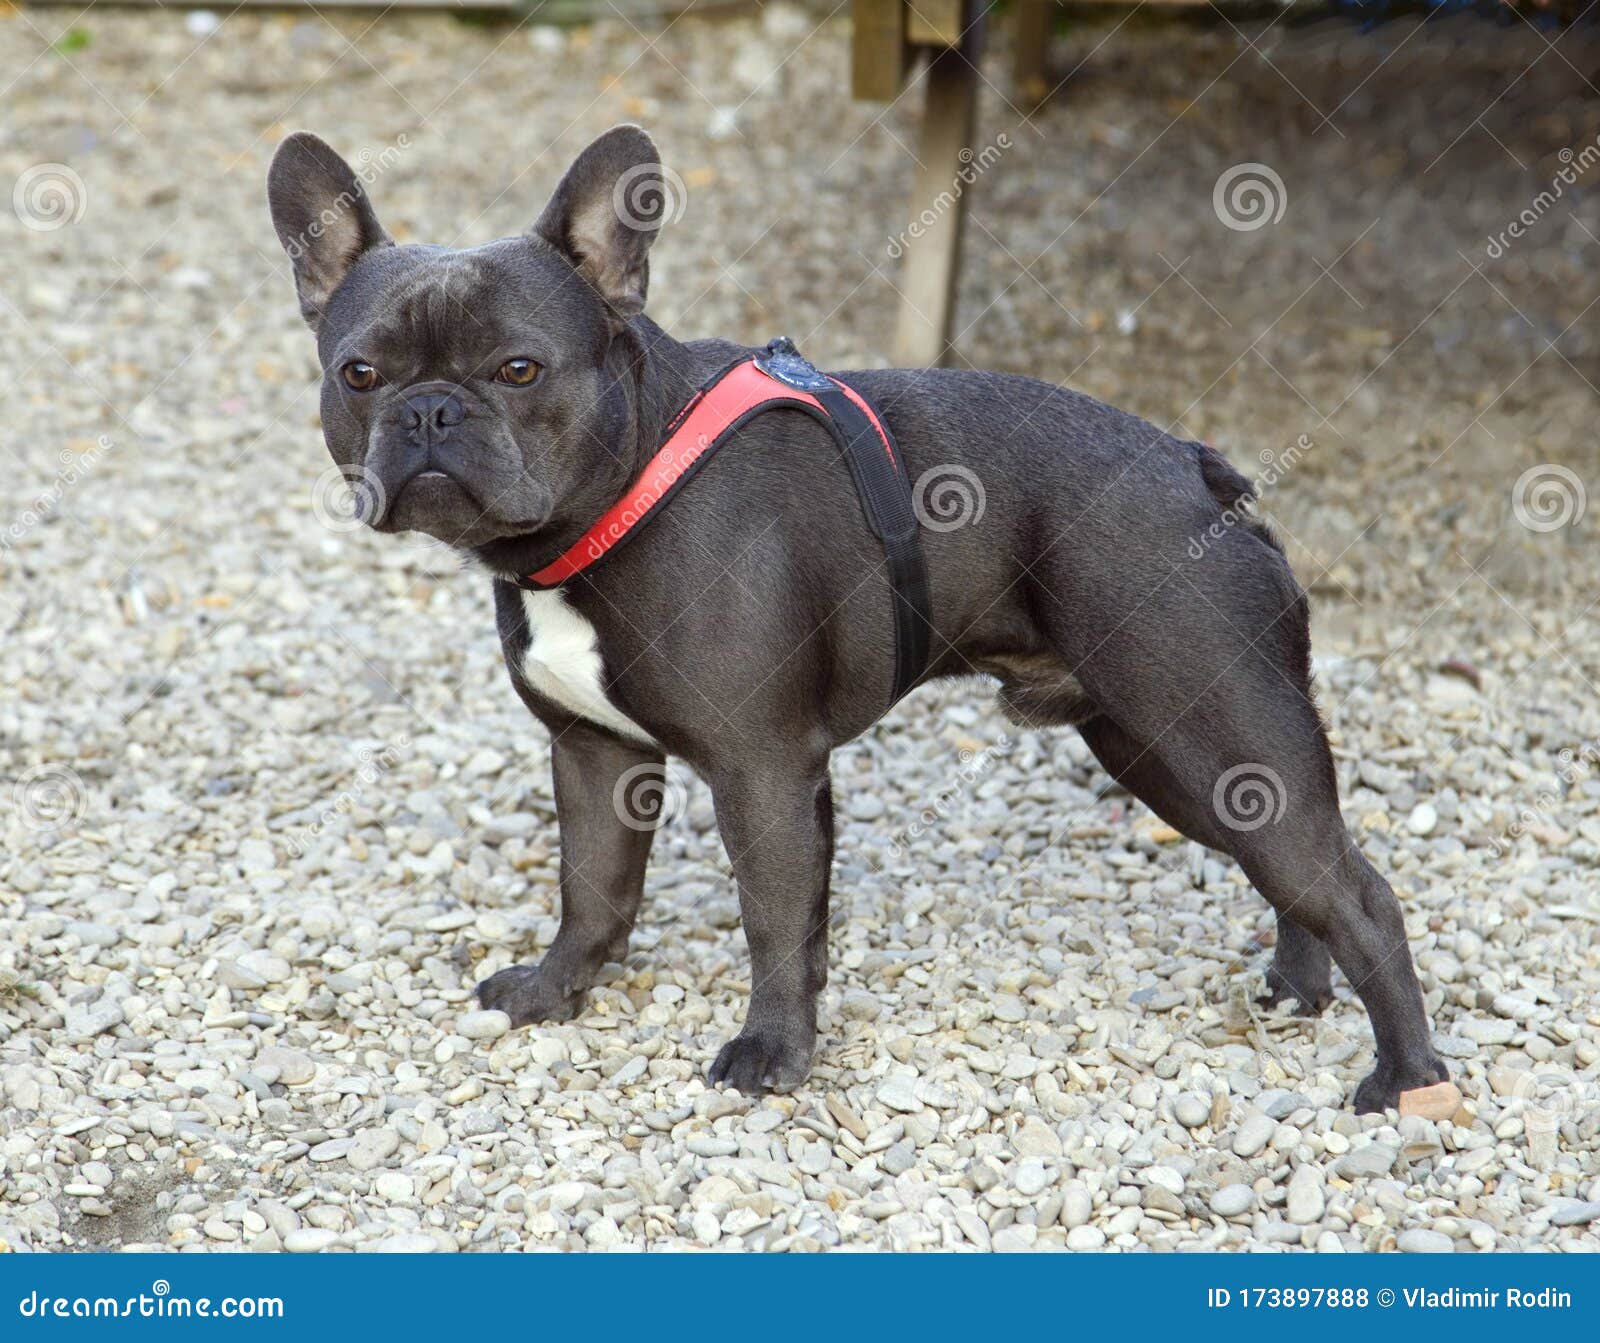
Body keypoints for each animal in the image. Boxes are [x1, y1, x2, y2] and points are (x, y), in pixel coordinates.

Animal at [265, 126, 1452, 1114]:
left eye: (518, 368)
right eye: (358, 373)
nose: (428, 411)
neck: (621, 493)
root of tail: (1204, 473)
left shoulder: (763, 769)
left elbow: (777, 919)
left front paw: (771, 1054)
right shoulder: (594, 754)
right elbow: (592, 887)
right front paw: (554, 990)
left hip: (1209, 722)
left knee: (1359, 893)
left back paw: (1403, 1079)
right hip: (1166, 751)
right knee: (1292, 875)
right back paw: (1299, 989)